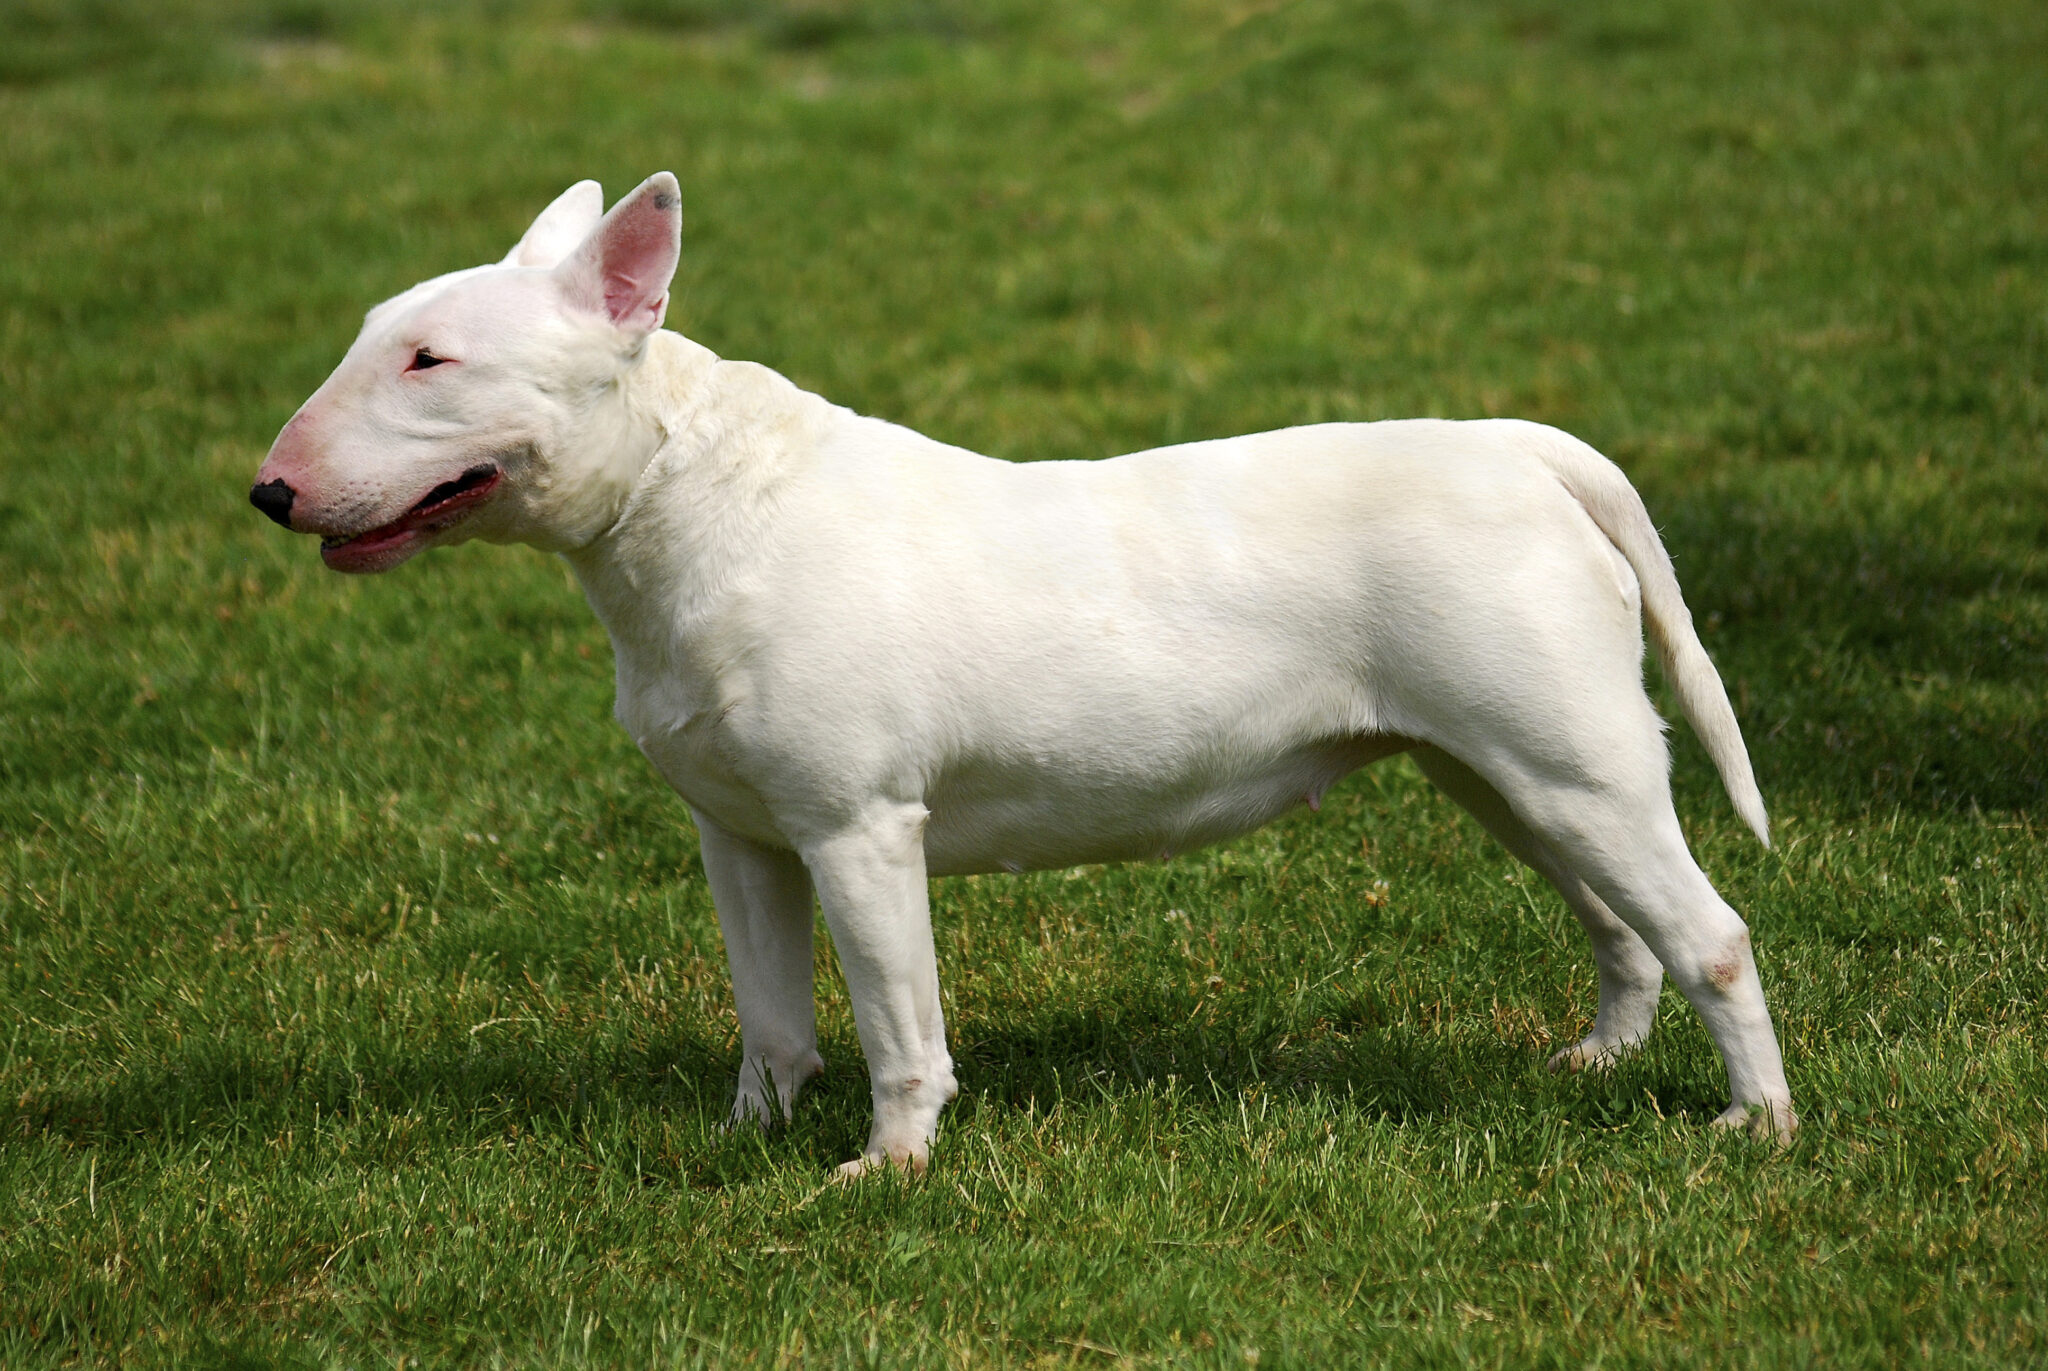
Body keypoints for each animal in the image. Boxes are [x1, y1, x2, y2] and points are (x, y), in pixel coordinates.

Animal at [251, 176, 1794, 1172]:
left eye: (431, 358)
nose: (269, 492)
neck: (690, 500)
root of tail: (1523, 446)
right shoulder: (740, 833)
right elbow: (770, 1013)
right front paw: (747, 1138)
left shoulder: (860, 826)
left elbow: (897, 1022)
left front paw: (884, 1169)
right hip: (1496, 768)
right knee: (1615, 920)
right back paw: (1597, 1060)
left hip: (1570, 758)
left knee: (1709, 930)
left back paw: (1756, 1128)